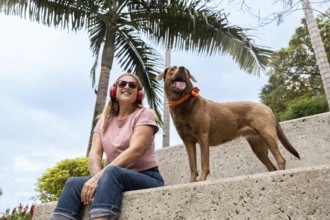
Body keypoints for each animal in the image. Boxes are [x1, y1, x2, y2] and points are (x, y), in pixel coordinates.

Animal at [156, 65, 300, 182]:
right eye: (172, 69)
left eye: (186, 70)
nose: (181, 68)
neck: (183, 103)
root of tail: (267, 107)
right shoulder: (188, 141)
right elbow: (192, 165)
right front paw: (191, 181)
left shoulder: (203, 137)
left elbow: (204, 162)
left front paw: (201, 180)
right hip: (257, 146)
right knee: (271, 165)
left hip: (267, 134)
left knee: (280, 159)